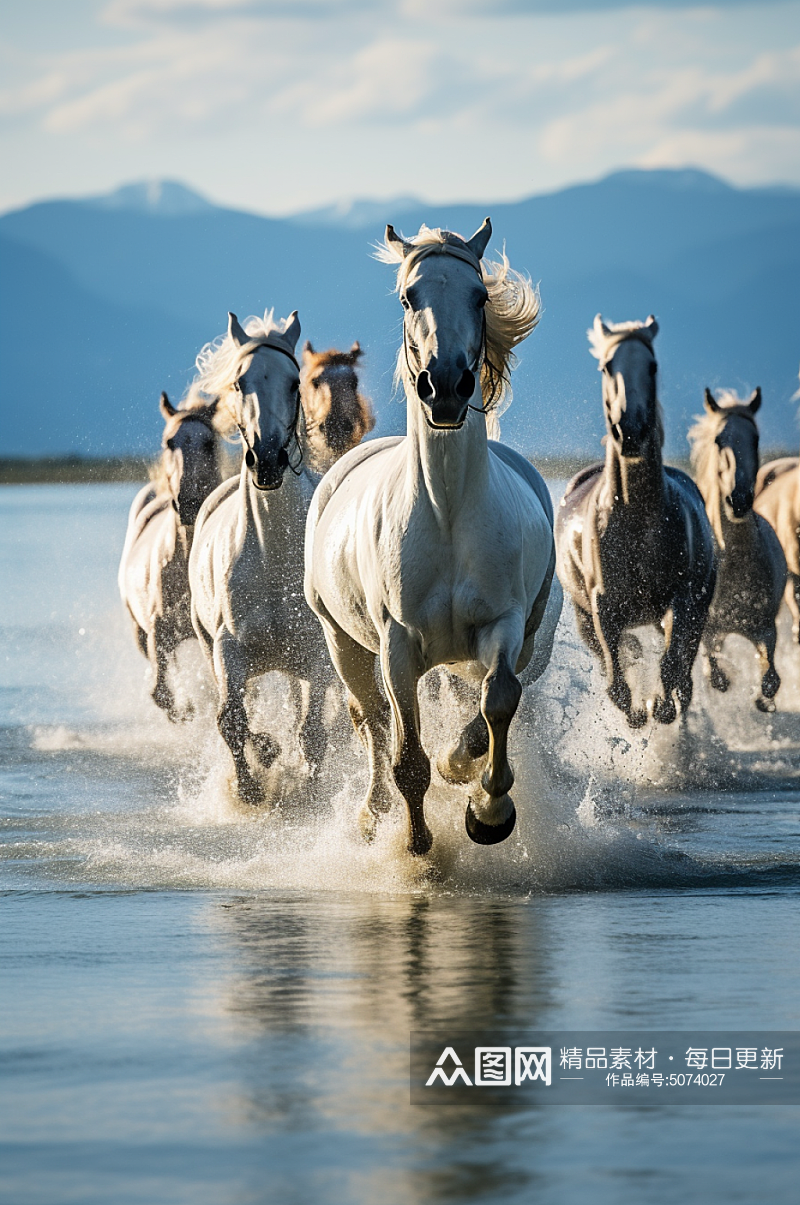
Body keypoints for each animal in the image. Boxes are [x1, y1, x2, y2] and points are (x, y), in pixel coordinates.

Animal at [303, 219, 559, 857]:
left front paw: (487, 810)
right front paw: (418, 848)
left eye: (480, 296)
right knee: (369, 722)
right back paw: (371, 817)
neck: (445, 513)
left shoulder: (503, 626)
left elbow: (497, 701)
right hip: (343, 644)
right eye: (407, 297)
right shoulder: (396, 648)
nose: (445, 385)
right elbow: (405, 757)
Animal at [556, 315, 713, 727]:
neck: (637, 518)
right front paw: (638, 714)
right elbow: (617, 683)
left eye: (653, 366)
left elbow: (671, 668)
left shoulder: (682, 601)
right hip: (583, 617)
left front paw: (660, 707)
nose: (631, 429)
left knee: (686, 672)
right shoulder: (602, 608)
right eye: (606, 366)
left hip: (697, 609)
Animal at [689, 385, 785, 708]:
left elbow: (770, 679)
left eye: (754, 438)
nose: (739, 499)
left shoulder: (766, 629)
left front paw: (762, 701)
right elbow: (716, 675)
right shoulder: (709, 628)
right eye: (719, 440)